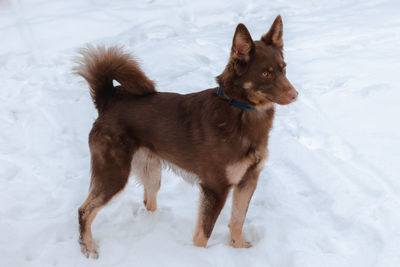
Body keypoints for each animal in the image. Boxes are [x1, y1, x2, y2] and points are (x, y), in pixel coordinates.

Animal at [76, 15, 298, 260]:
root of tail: (109, 99)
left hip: (151, 171)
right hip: (114, 174)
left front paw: (238, 248)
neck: (241, 110)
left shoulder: (248, 180)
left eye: (283, 69)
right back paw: (88, 247)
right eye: (266, 73)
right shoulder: (215, 188)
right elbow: (204, 234)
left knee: (148, 200)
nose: (295, 95)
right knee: (84, 210)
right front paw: (199, 257)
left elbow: (238, 220)